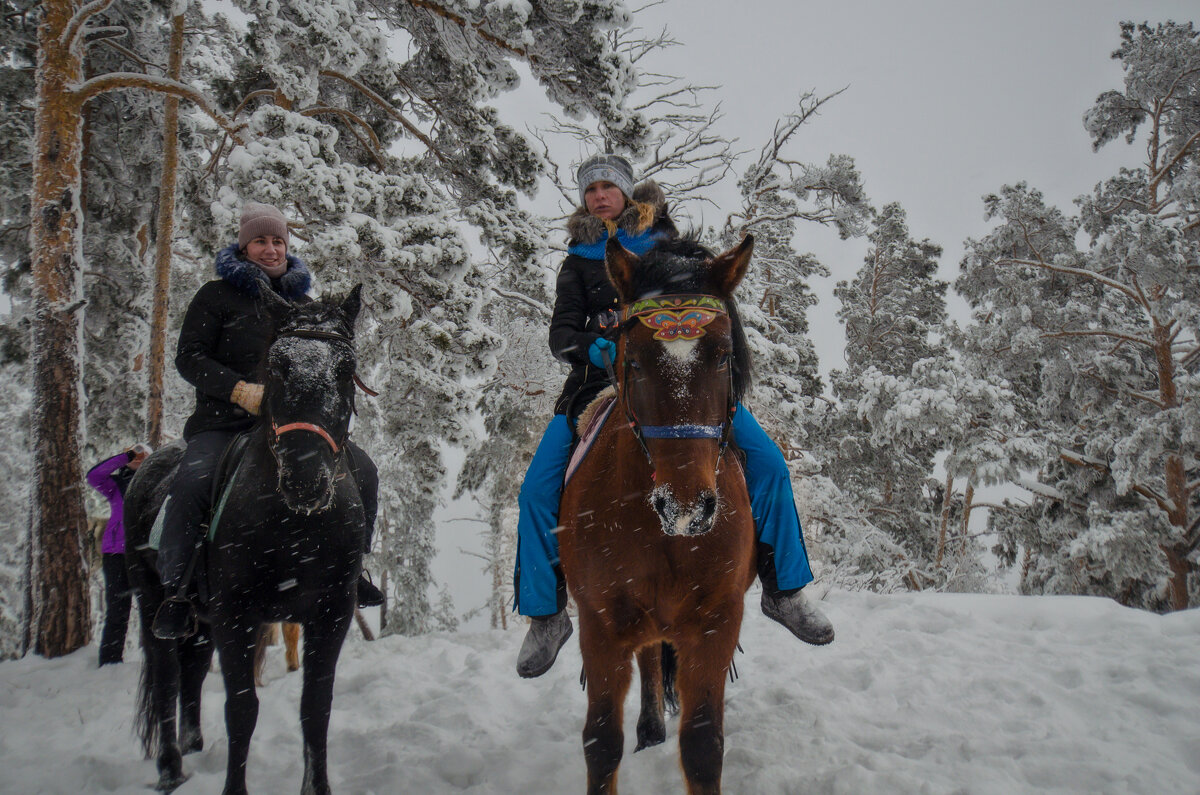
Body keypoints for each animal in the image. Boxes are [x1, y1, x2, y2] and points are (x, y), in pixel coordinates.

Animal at [124, 287, 369, 795]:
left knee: (193, 671)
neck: (295, 530)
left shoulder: (331, 615)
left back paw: (194, 744)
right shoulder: (235, 615)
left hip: (201, 621)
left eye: (345, 368)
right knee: (166, 677)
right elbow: (241, 710)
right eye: (276, 366)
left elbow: (316, 708)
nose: (304, 479)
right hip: (154, 602)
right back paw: (170, 768)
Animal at [556, 235, 753, 795]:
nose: (687, 507)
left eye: (724, 356)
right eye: (635, 360)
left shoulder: (715, 624)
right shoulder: (600, 628)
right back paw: (647, 729)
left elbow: (703, 746)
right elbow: (601, 743)